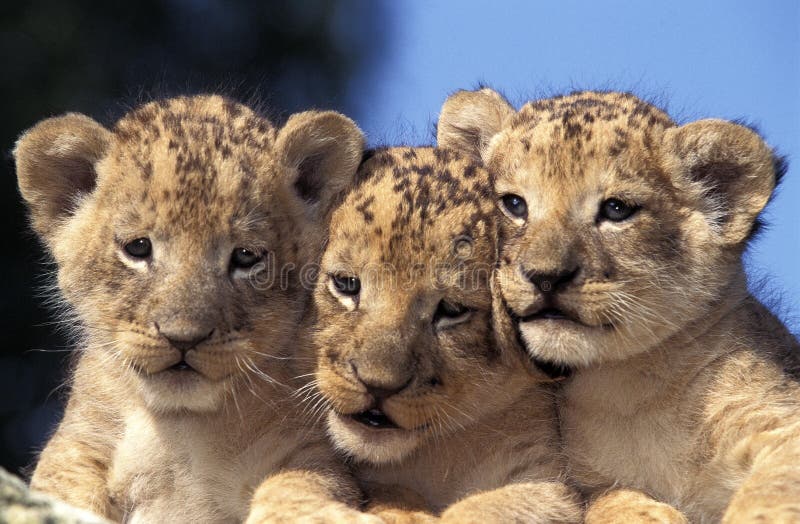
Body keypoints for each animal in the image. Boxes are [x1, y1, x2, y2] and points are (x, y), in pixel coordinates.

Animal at [14, 94, 379, 523]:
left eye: (245, 257)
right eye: (138, 248)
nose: (183, 338)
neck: (181, 425)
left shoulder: (311, 452)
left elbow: (297, 489)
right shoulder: (79, 444)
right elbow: (61, 486)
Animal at [438, 87, 800, 523]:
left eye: (616, 209)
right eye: (513, 204)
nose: (546, 276)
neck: (636, 386)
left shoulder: (779, 422)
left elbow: (771, 490)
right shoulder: (582, 482)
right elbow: (612, 500)